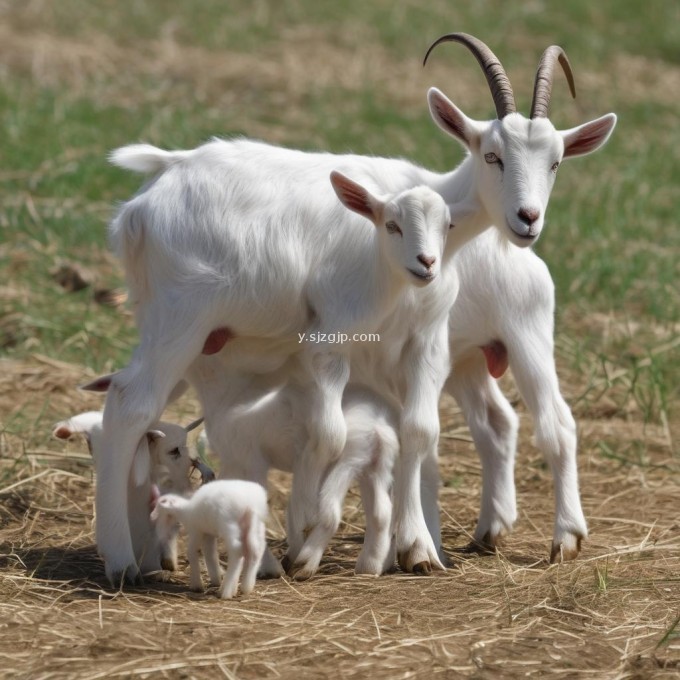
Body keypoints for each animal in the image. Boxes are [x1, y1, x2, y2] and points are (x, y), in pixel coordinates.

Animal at [97, 33, 616, 584]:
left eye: (555, 162)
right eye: (492, 154)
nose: (527, 218)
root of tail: (144, 205)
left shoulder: (425, 343)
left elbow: (417, 432)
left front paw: (415, 548)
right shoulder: (343, 343)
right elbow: (348, 433)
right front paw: (320, 531)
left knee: (507, 423)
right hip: (182, 318)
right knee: (132, 403)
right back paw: (121, 558)